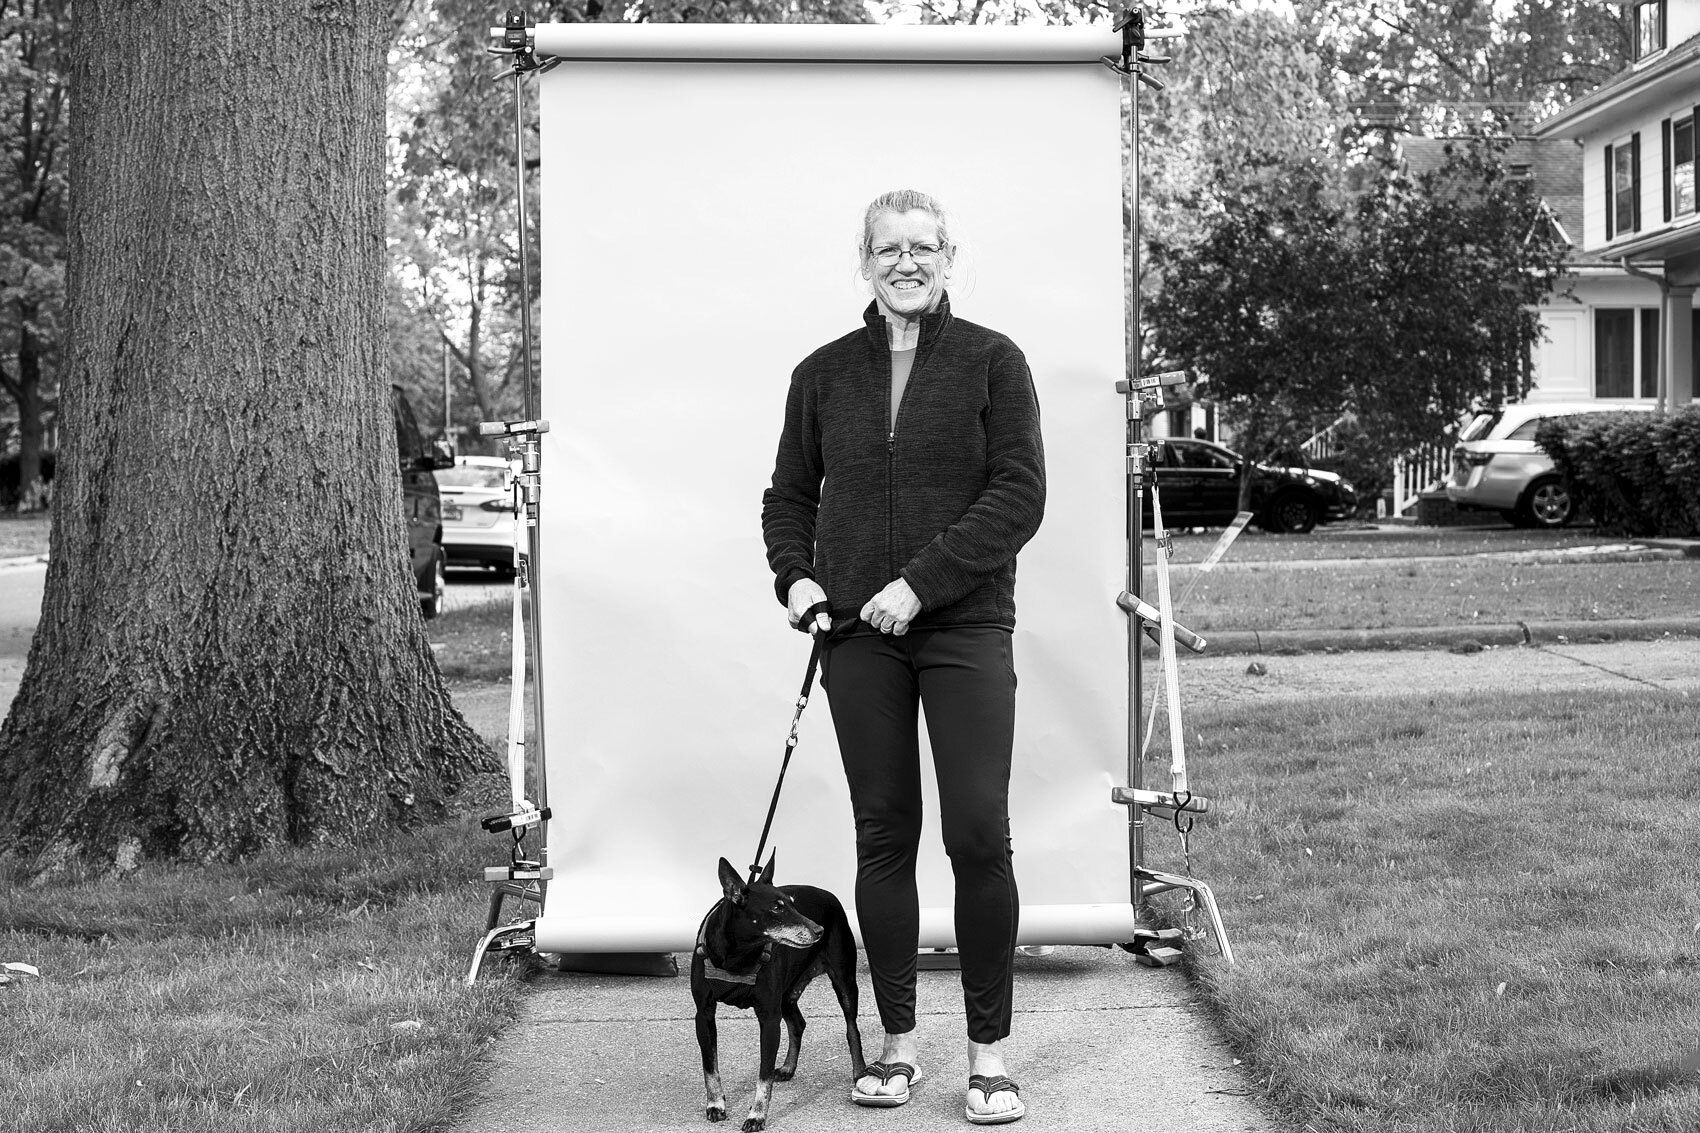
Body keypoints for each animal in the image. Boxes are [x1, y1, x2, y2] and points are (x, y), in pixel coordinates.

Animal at [690, 850, 863, 1122]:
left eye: (793, 904)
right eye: (776, 908)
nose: (819, 930)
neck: (738, 957)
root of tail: (830, 895)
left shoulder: (769, 1017)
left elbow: (764, 1073)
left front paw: (756, 1116)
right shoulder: (704, 1014)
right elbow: (710, 1066)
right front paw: (716, 1104)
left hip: (844, 980)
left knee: (851, 1028)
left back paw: (860, 1072)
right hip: (786, 991)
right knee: (798, 1023)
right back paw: (789, 1067)